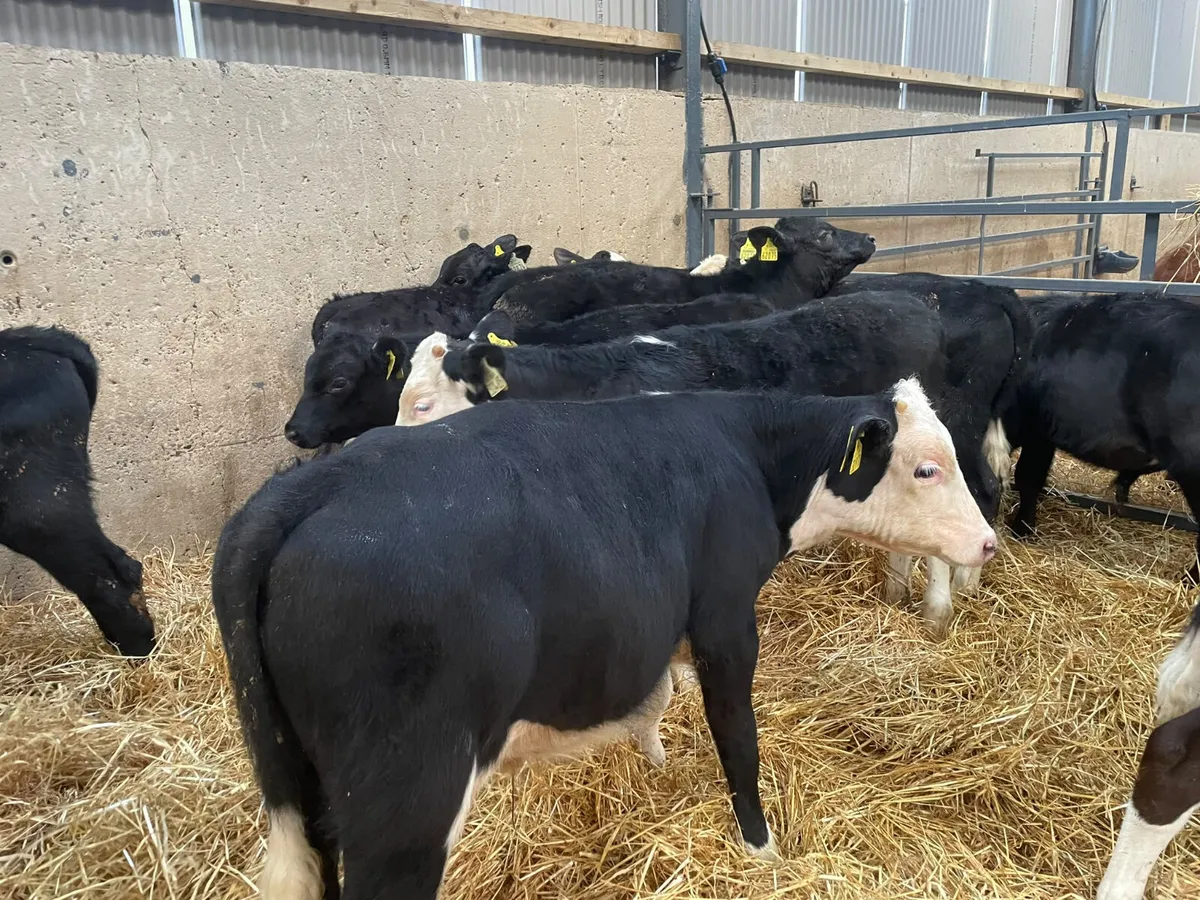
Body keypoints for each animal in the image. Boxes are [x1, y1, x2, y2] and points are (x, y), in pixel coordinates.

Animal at [213, 379, 996, 899]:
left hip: (300, 786)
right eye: (927, 467)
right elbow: (737, 737)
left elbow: (656, 701)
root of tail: (303, 490)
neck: (744, 449)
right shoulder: (724, 620)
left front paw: (656, 765)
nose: (988, 542)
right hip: (407, 801)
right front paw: (763, 850)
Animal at [997, 292, 1200, 583]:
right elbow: (1032, 479)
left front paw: (1020, 531)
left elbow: (1026, 477)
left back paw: (1187, 580)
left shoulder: (1034, 430)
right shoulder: (1042, 434)